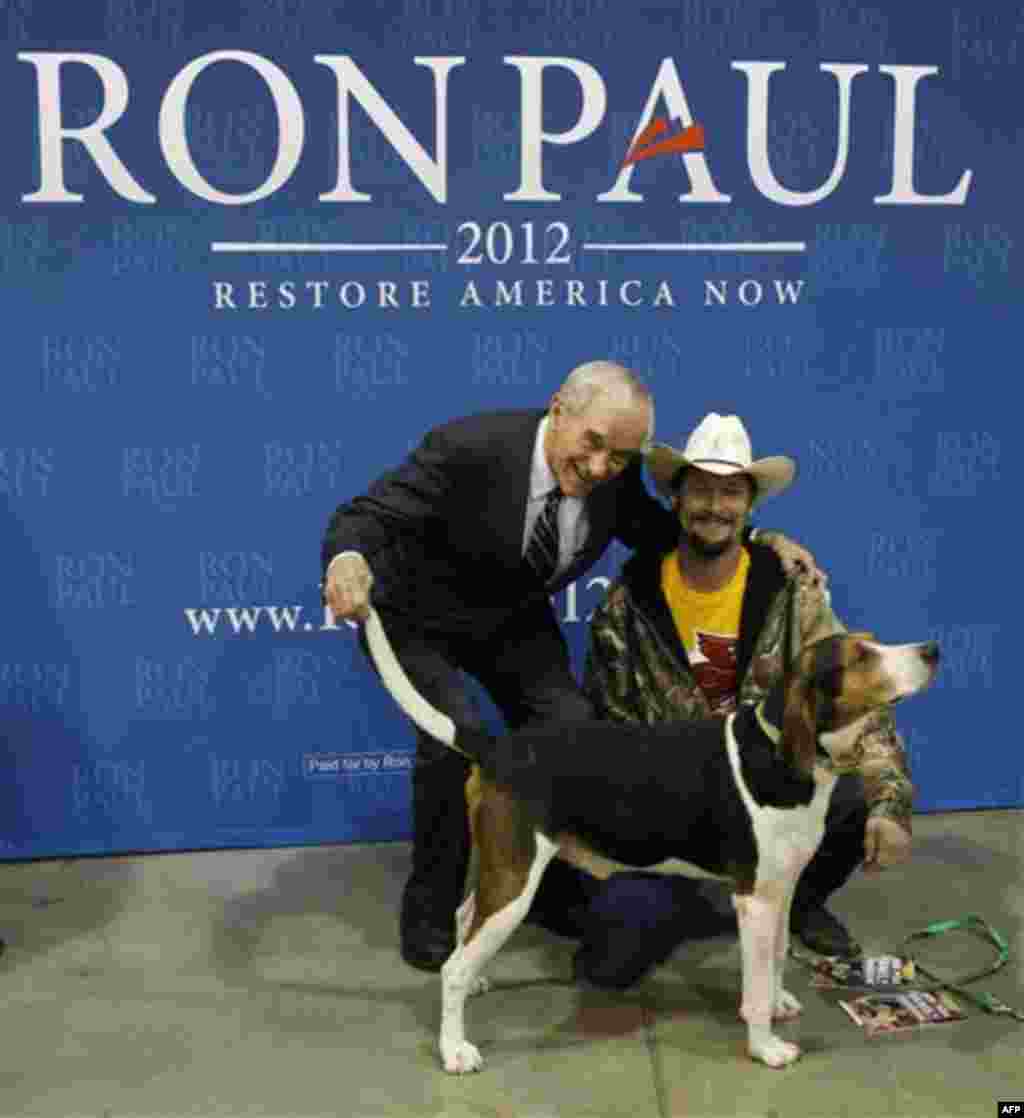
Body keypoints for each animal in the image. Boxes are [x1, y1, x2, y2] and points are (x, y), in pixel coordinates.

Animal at [359, 612, 934, 1073]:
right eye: (861, 656)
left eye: (872, 642)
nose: (932, 650)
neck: (784, 751)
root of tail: (499, 747)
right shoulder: (752, 900)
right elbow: (753, 983)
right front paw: (766, 1046)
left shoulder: (781, 890)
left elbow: (775, 958)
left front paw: (779, 1003)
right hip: (517, 880)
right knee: (452, 968)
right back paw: (454, 1050)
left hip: (507, 872)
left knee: (463, 921)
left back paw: (475, 984)